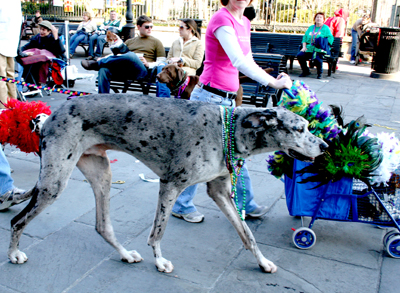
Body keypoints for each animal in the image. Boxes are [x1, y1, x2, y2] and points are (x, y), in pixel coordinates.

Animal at [3, 94, 328, 274]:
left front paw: (263, 262)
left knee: (102, 225)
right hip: (54, 182)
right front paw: (159, 262)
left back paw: (125, 254)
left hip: (101, 173)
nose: (325, 146)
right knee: (18, 221)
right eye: (300, 128)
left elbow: (246, 234)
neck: (229, 130)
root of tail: (47, 118)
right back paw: (13, 254)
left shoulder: (220, 191)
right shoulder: (171, 184)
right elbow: (158, 232)